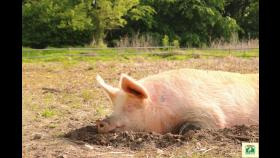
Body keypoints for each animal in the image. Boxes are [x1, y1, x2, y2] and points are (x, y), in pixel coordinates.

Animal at [95, 68, 260, 134]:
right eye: (114, 107)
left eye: (130, 107)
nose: (100, 122)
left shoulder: (209, 112)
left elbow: (213, 120)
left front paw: (182, 131)